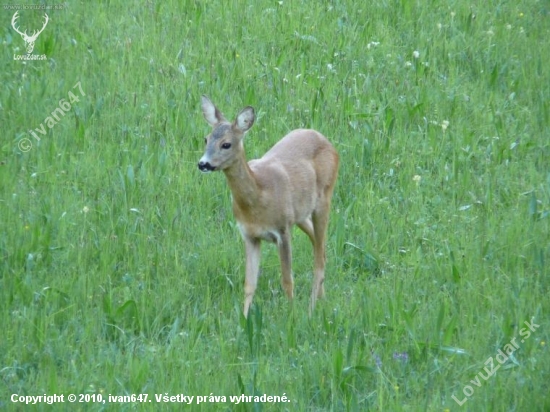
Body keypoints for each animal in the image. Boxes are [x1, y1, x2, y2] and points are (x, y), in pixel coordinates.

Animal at [196, 95, 338, 318]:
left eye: (226, 144)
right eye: (206, 139)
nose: (203, 164)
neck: (258, 198)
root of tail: (326, 141)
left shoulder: (282, 231)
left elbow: (287, 280)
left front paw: (291, 315)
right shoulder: (249, 235)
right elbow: (249, 283)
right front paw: (244, 319)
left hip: (324, 198)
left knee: (319, 258)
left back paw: (312, 308)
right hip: (300, 214)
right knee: (320, 246)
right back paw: (322, 299)